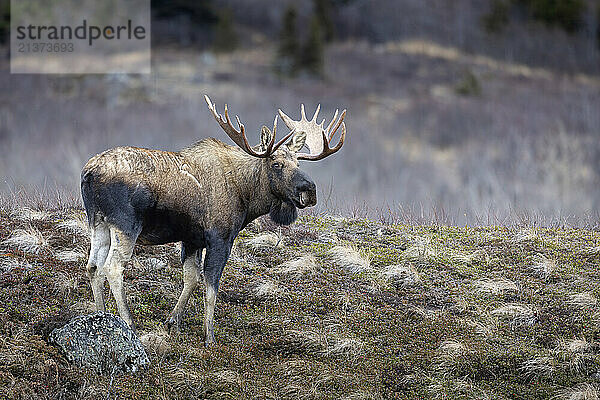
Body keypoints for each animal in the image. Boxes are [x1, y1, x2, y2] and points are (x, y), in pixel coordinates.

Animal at [79, 96, 346, 344]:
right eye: (277, 164)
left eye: (298, 162)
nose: (309, 190)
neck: (247, 195)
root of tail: (89, 173)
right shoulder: (220, 238)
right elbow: (210, 286)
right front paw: (210, 336)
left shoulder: (192, 239)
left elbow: (191, 278)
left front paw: (172, 322)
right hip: (126, 225)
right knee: (113, 267)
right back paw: (128, 323)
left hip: (98, 222)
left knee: (93, 266)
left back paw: (101, 315)